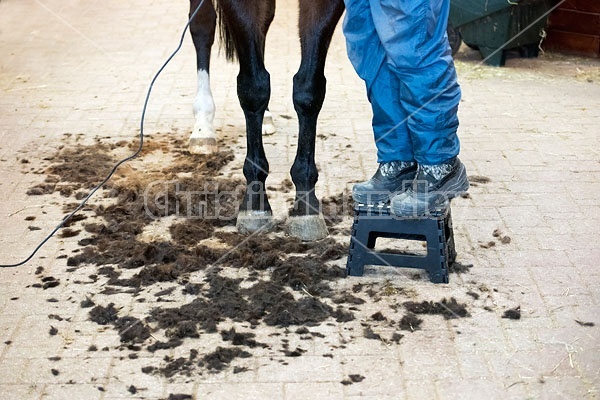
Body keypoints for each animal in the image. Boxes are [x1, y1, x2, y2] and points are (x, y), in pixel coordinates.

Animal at [185, 0, 344, 241]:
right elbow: (254, 87)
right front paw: (255, 203)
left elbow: (308, 89)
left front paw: (306, 206)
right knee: (202, 25)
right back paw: (203, 128)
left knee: (264, 24)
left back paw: (266, 117)